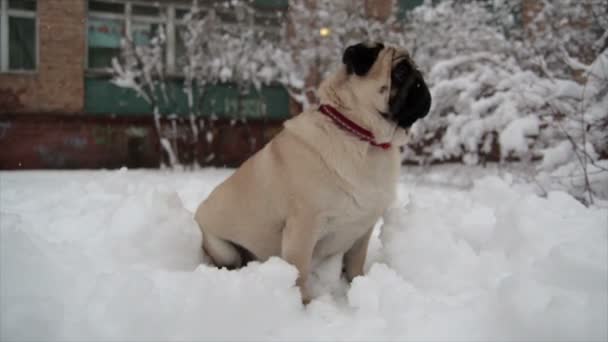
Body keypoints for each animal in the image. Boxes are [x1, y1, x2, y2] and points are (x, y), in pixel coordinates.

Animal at [195, 42, 432, 302]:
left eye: (415, 70)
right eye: (400, 72)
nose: (420, 80)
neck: (362, 137)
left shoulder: (363, 230)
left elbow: (355, 264)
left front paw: (356, 286)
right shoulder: (303, 228)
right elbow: (299, 273)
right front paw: (304, 305)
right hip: (223, 248)